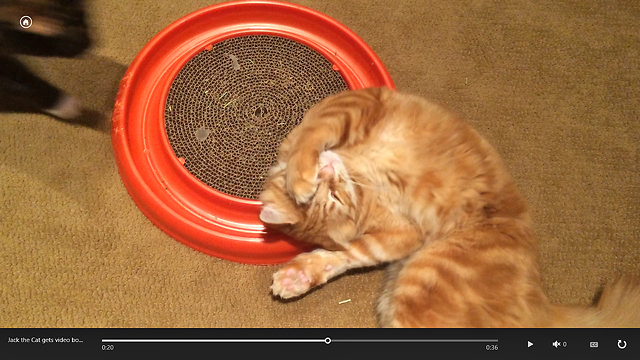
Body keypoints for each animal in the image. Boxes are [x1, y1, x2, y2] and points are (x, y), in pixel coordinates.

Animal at [258, 86, 636, 326]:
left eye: (333, 196)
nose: (328, 173)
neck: (357, 168)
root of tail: (540, 302)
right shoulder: (401, 234)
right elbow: (351, 253)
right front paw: (300, 274)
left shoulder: (358, 103)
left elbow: (312, 136)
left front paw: (300, 176)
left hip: (421, 288)